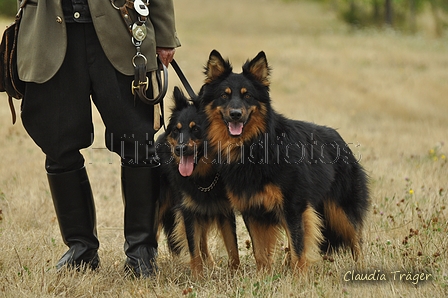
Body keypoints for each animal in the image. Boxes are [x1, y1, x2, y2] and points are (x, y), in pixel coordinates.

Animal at [158, 86, 242, 278]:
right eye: (176, 131)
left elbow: (232, 247)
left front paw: (236, 273)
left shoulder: (224, 211)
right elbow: (193, 248)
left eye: (196, 129)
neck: (205, 177)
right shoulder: (188, 211)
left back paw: (211, 265)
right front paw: (198, 277)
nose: (179, 149)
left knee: (202, 240)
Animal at [198, 50, 370, 272]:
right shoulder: (253, 210)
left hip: (341, 210)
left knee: (356, 241)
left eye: (247, 95)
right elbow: (260, 252)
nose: (236, 114)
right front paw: (264, 276)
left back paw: (362, 268)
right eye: (224, 95)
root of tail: (340, 139)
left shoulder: (293, 206)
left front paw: (298, 277)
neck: (255, 145)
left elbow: (298, 248)